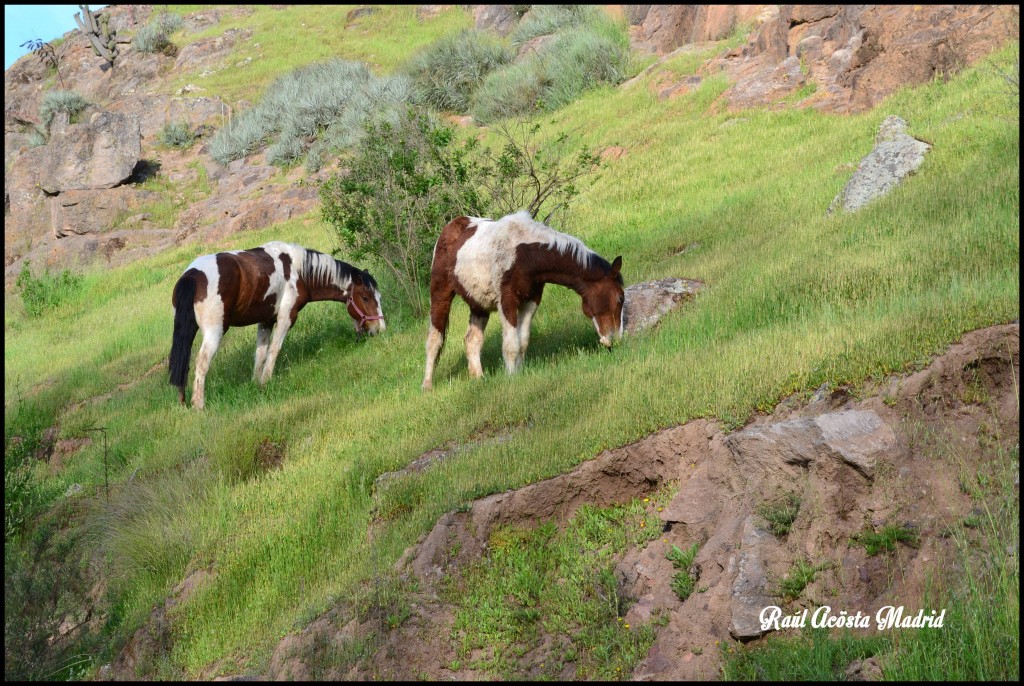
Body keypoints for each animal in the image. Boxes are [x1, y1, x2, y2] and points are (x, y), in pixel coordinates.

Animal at [168, 241, 385, 409]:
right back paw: (199, 405)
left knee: (183, 362)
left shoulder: (266, 321)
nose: (380, 329)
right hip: (214, 332)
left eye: (378, 297)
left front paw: (256, 383)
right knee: (201, 363)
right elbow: (274, 349)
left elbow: (260, 353)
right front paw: (266, 381)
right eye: (365, 297)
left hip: (188, 331)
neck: (299, 271)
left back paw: (183, 403)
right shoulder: (286, 317)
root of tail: (192, 276)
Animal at [421, 209, 622, 393]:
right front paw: (511, 378)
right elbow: (511, 344)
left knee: (472, 339)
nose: (613, 340)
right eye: (620, 298)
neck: (526, 255)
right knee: (434, 339)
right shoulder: (507, 300)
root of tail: (450, 227)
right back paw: (427, 385)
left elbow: (523, 340)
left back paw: (479, 378)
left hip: (478, 302)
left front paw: (518, 374)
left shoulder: (531, 300)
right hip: (440, 292)